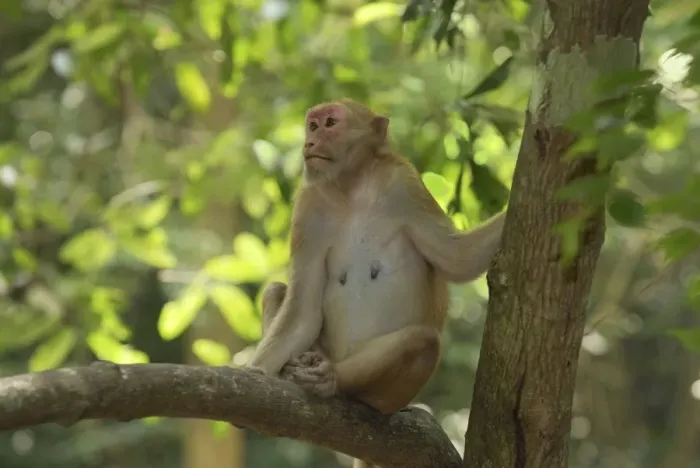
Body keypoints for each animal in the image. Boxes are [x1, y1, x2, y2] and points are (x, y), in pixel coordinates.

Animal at [246, 98, 505, 467]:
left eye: (330, 123)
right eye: (312, 125)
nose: (310, 142)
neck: (352, 189)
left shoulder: (403, 183)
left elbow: (459, 258)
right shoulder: (309, 208)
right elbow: (301, 314)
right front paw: (254, 374)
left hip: (391, 398)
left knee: (423, 341)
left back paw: (335, 380)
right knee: (277, 291)